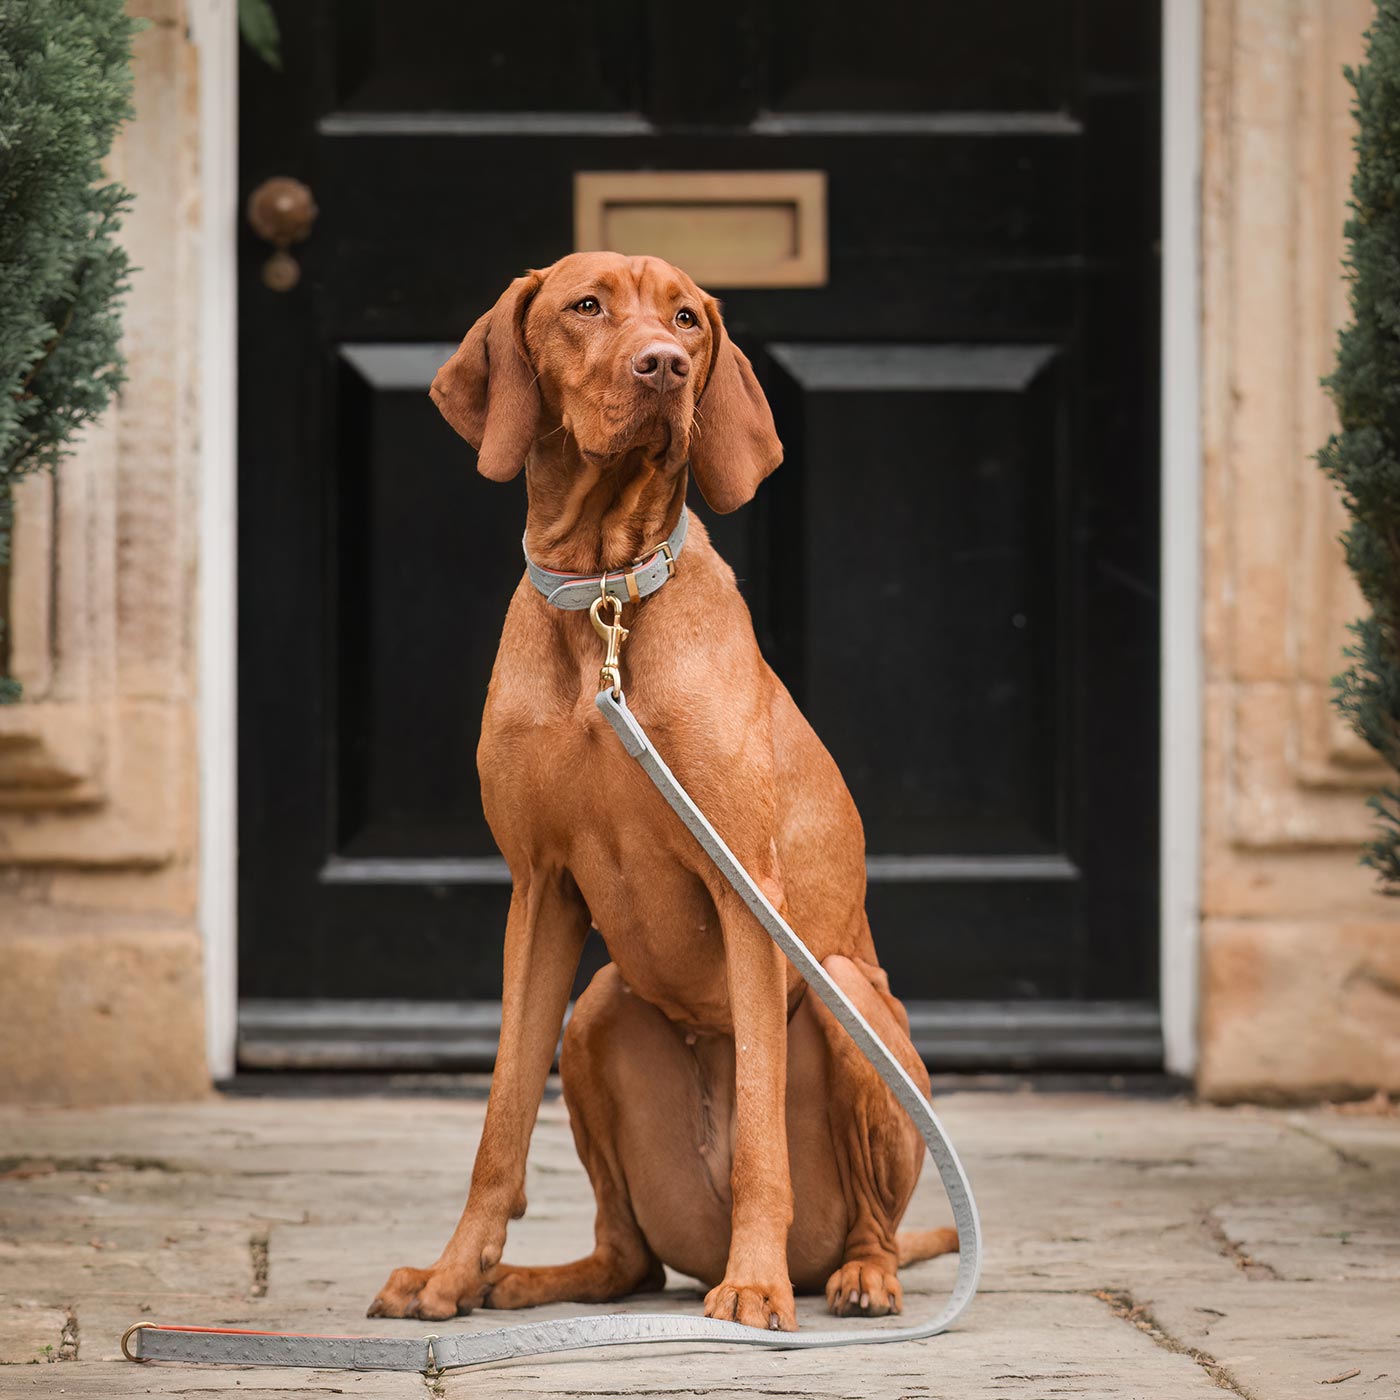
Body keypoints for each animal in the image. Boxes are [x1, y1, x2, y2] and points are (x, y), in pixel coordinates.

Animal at [369, 252, 963, 1332]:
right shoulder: (538, 889)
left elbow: (762, 1130)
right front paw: (450, 1273)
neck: (605, 599)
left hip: (845, 993)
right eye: (586, 305)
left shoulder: (746, 890)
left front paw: (754, 1286)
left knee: (870, 1219)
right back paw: (531, 1278)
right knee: (629, 1259)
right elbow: (501, 1118)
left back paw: (853, 1277)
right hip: (597, 1012)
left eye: (687, 318)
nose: (665, 367)